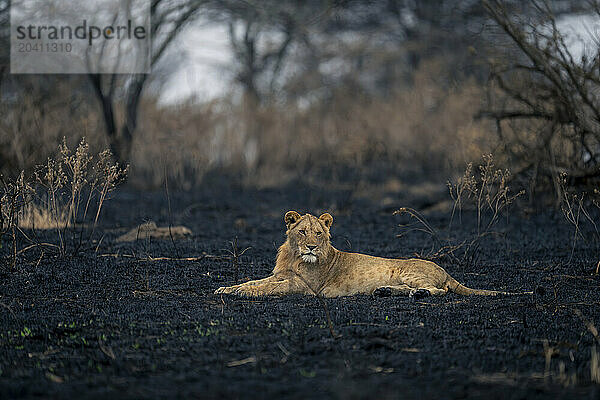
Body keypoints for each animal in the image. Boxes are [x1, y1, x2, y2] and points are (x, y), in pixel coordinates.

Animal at [214, 211, 520, 298]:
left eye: (319, 234)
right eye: (302, 232)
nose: (311, 247)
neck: (295, 257)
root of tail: (445, 270)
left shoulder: (305, 287)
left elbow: (269, 289)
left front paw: (243, 293)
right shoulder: (281, 275)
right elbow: (256, 281)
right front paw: (227, 289)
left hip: (408, 271)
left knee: (439, 291)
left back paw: (419, 294)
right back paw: (384, 291)